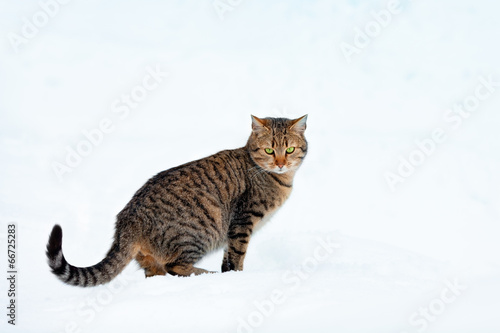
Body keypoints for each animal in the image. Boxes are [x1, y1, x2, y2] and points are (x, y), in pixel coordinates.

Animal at [45, 114, 306, 286]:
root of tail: (127, 220)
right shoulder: (243, 222)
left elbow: (228, 257)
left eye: (290, 150)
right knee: (175, 266)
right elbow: (236, 256)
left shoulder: (232, 231)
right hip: (198, 233)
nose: (281, 163)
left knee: (157, 275)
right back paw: (205, 274)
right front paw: (237, 278)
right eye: (270, 150)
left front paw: (229, 274)